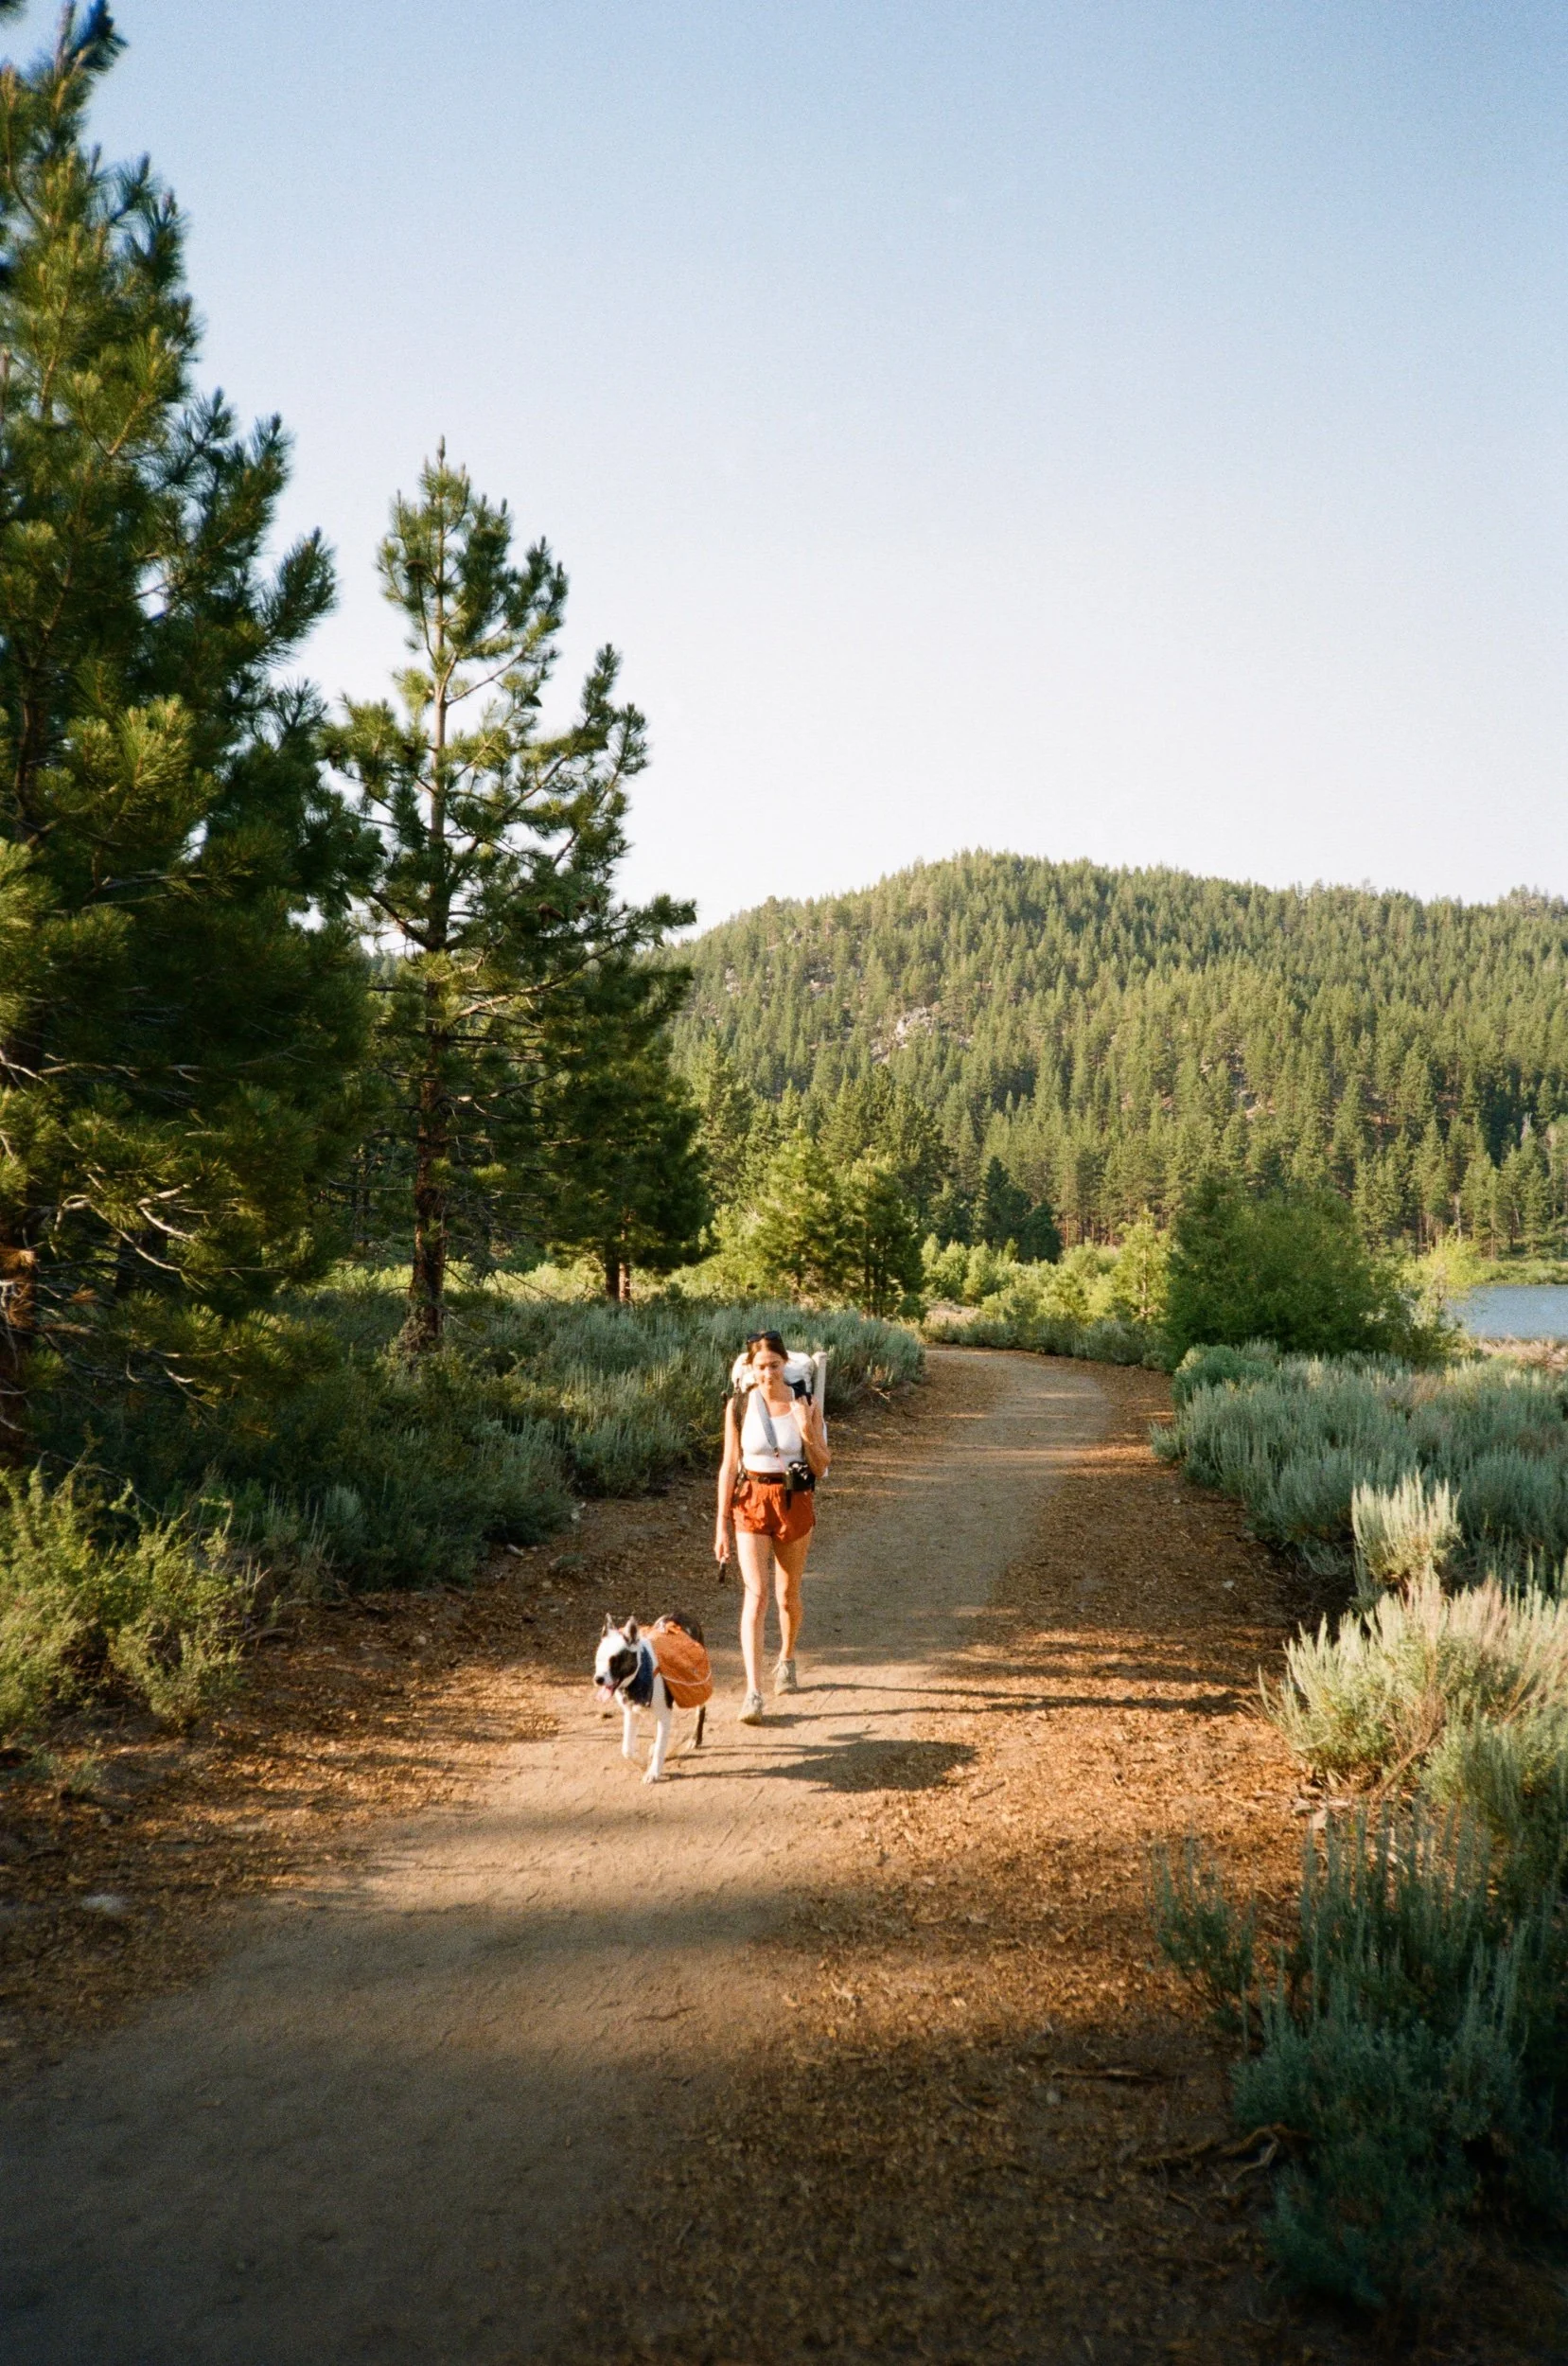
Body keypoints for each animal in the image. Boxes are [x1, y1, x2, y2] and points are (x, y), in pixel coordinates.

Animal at [593, 1614, 712, 1783]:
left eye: (615, 1661)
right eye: (599, 1658)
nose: (598, 1679)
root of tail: (683, 1615)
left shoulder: (664, 1714)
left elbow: (661, 1747)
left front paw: (653, 1772)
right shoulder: (631, 1713)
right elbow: (626, 1749)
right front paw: (642, 1764)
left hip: (698, 1685)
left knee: (700, 1710)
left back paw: (695, 1739)